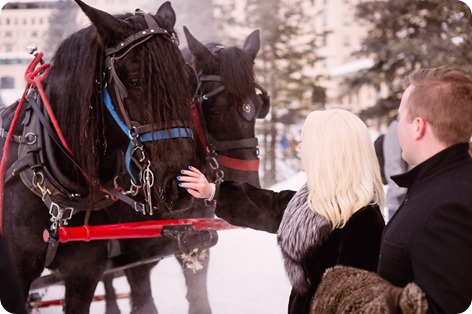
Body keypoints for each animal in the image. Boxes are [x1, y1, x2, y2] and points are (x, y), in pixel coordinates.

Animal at [103, 27, 272, 314]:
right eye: (214, 109)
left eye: (259, 108)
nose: (247, 182)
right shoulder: (134, 258)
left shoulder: (194, 243)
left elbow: (199, 299)